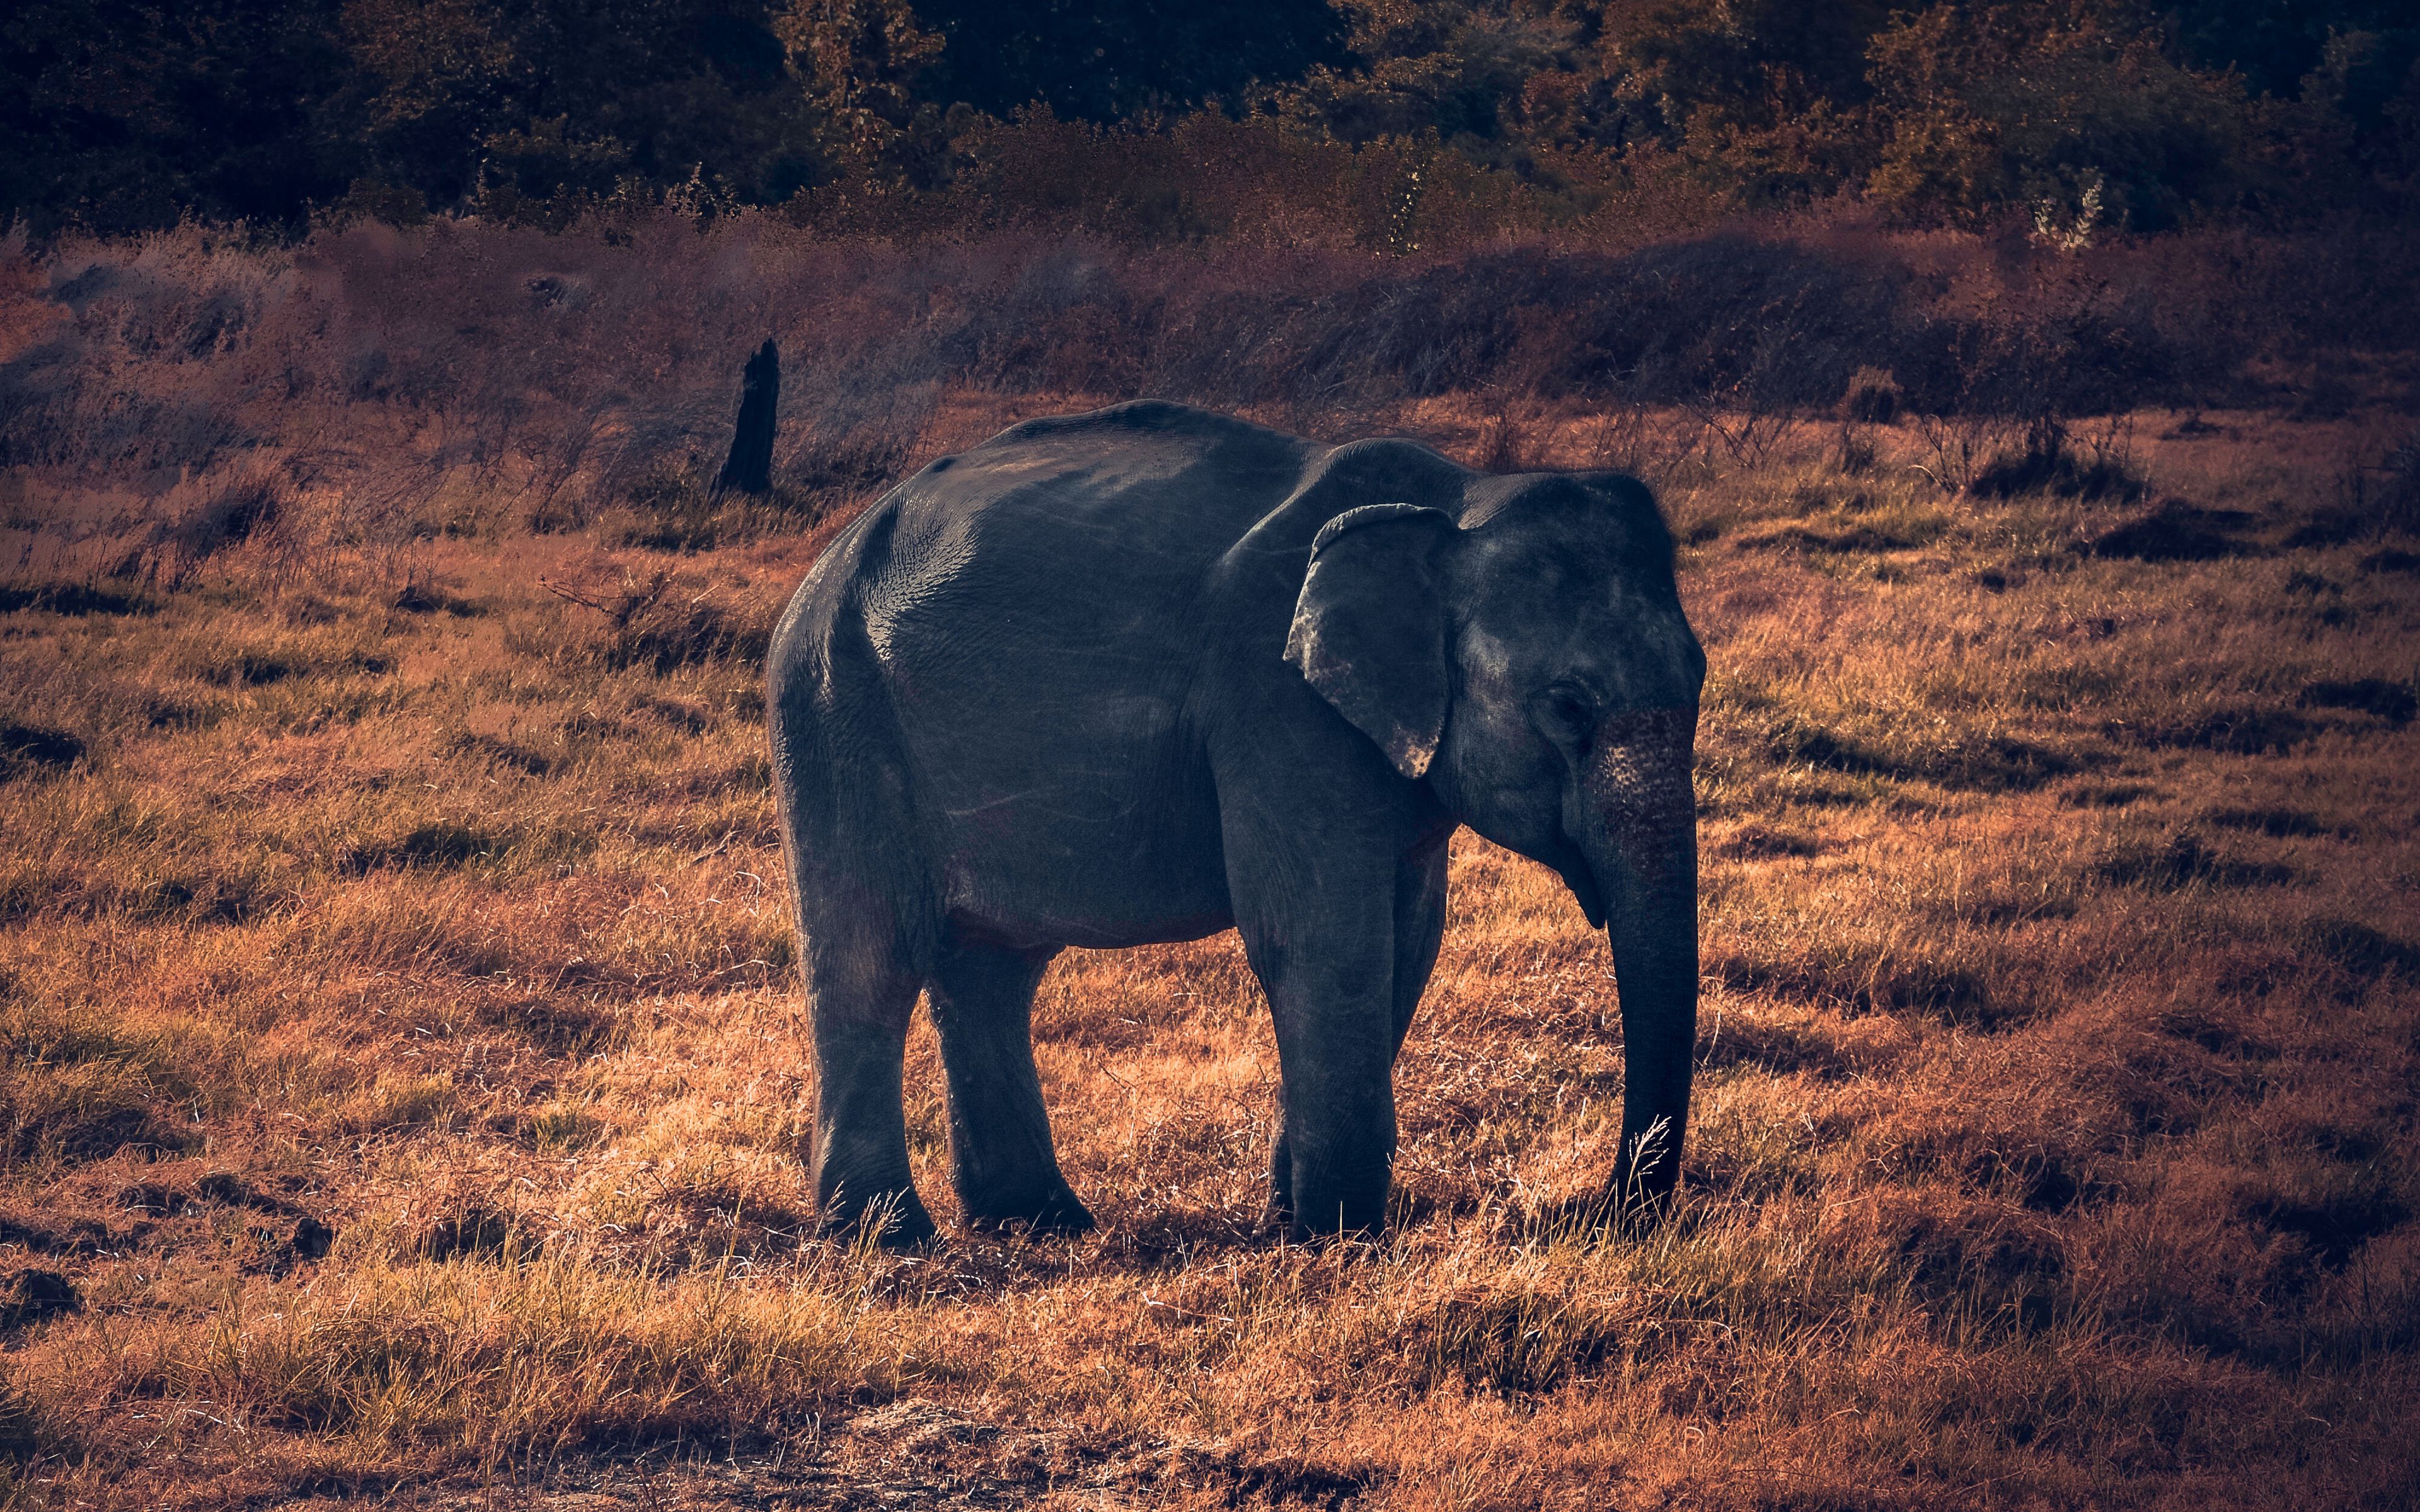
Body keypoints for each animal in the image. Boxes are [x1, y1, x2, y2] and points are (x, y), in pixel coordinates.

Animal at [769, 399, 1703, 1239]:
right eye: (1569, 706)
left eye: (1699, 678)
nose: (1599, 1211)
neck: (1457, 501)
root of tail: (829, 561)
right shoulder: (1275, 706)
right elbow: (1320, 939)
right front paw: (1336, 1234)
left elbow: (1408, 941)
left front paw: (1295, 1217)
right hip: (834, 708)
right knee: (870, 956)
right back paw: (890, 1234)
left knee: (990, 968)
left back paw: (1038, 1221)